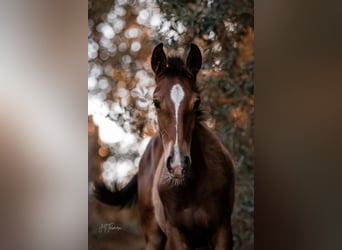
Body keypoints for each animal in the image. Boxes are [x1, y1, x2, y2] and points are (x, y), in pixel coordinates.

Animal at [95, 43, 236, 250]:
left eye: (197, 102)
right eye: (156, 102)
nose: (178, 165)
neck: (192, 188)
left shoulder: (223, 230)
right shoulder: (176, 234)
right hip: (154, 236)